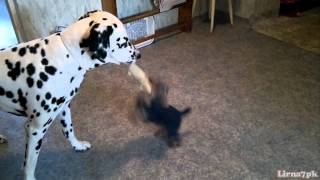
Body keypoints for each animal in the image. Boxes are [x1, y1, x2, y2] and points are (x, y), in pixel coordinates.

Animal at [0, 10, 148, 180]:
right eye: (123, 42)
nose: (139, 55)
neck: (67, 55)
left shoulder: (64, 108)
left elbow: (68, 130)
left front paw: (78, 146)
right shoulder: (35, 129)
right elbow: (29, 165)